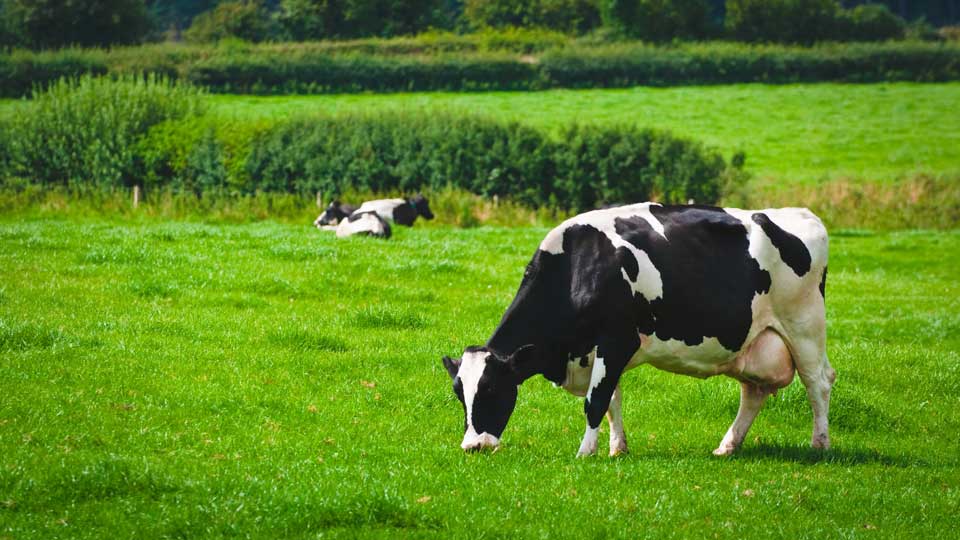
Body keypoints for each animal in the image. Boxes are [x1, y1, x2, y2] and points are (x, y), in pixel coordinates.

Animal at [442, 203, 834, 458]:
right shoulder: (600, 351)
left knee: (818, 382)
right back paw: (727, 446)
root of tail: (803, 213)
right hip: (754, 342)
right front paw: (617, 448)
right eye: (460, 394)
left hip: (804, 325)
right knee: (753, 393)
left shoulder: (617, 338)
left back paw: (820, 443)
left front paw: (585, 452)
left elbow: (595, 401)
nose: (473, 446)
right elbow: (611, 399)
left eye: (492, 389)